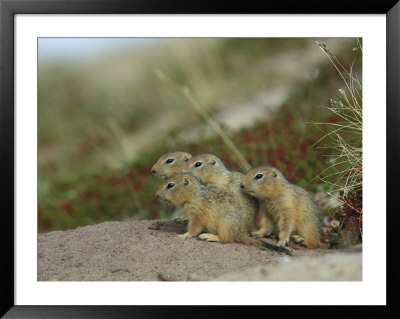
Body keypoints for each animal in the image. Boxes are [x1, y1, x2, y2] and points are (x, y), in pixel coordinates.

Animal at [154, 172, 290, 255]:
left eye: (170, 185)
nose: (156, 195)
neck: (193, 194)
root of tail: (240, 233)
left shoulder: (197, 215)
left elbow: (194, 228)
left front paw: (184, 235)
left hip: (225, 224)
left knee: (227, 239)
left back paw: (210, 236)